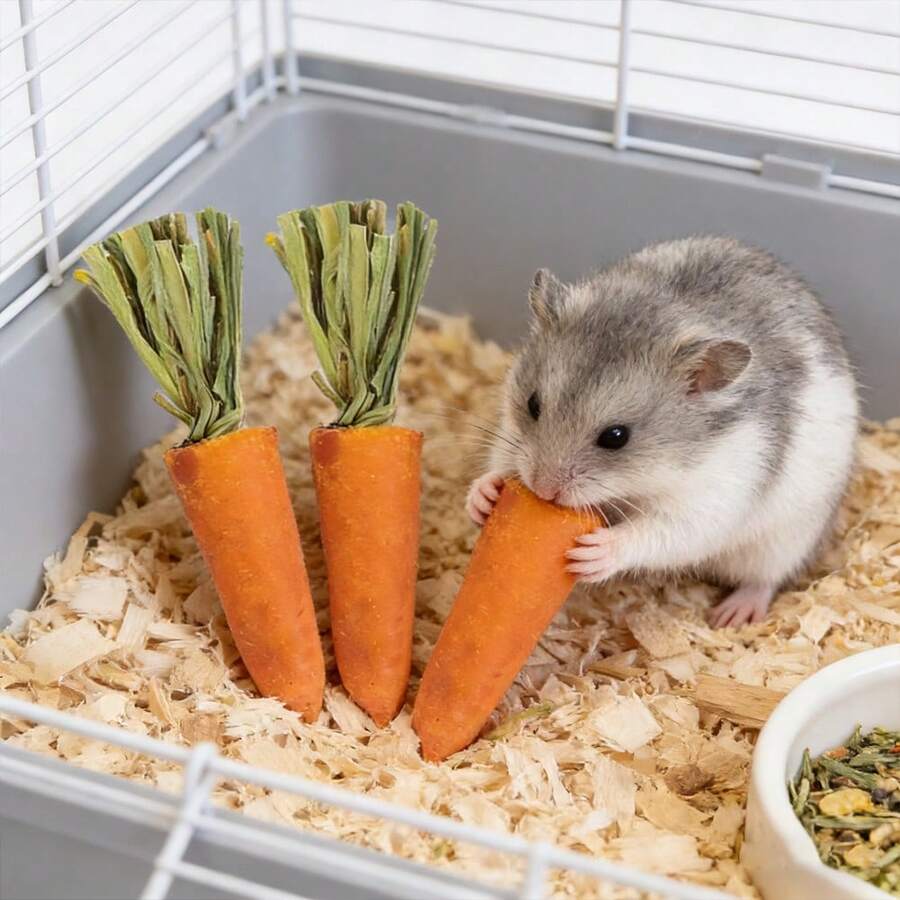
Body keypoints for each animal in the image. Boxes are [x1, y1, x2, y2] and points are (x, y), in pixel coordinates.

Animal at [466, 236, 858, 627]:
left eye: (616, 437)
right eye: (533, 404)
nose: (542, 492)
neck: (649, 475)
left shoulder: (712, 498)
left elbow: (661, 532)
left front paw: (594, 554)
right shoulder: (509, 433)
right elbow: (500, 462)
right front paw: (483, 496)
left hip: (786, 541)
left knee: (764, 580)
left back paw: (731, 616)